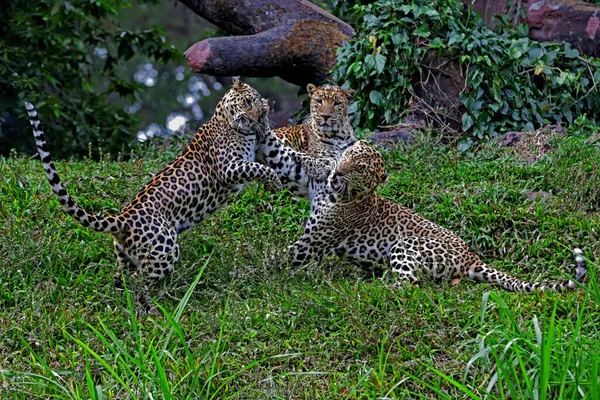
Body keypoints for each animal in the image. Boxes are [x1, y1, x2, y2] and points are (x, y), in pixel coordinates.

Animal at [24, 78, 284, 312]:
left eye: (255, 104)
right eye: (247, 101)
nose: (252, 117)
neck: (224, 119)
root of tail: (123, 219)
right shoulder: (228, 167)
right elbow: (260, 168)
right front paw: (276, 185)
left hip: (127, 256)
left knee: (121, 279)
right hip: (165, 249)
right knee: (137, 280)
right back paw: (149, 312)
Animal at [288, 141, 588, 294]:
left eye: (361, 168)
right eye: (348, 154)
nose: (338, 172)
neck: (339, 193)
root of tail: (470, 256)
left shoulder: (310, 243)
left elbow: (287, 257)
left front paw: (276, 275)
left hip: (405, 245)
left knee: (409, 284)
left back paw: (371, 287)